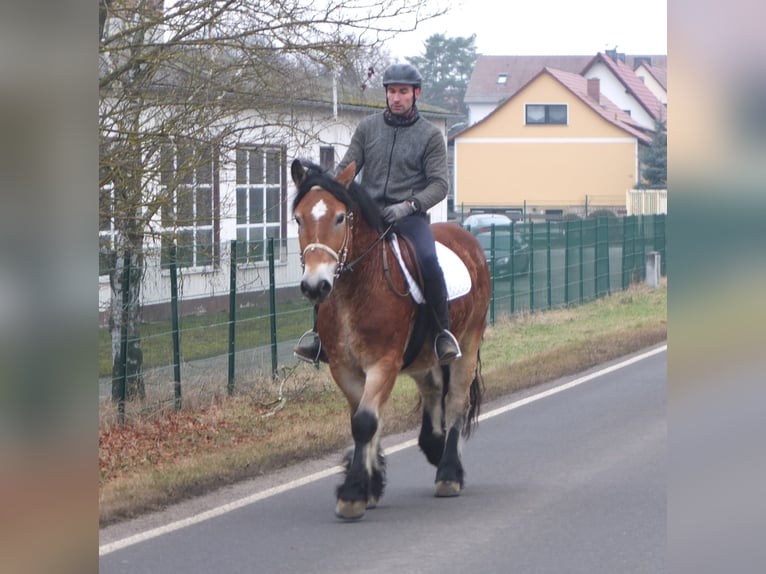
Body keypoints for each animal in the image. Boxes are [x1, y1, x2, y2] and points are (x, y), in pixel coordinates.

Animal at [290, 159, 491, 520]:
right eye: (299, 218)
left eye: (339, 217)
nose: (315, 285)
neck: (357, 290)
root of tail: (466, 238)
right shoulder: (344, 368)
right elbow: (363, 420)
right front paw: (368, 484)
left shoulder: (383, 362)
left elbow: (366, 421)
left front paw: (353, 493)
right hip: (423, 358)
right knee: (433, 391)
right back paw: (433, 446)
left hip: (467, 345)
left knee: (455, 401)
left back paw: (449, 472)